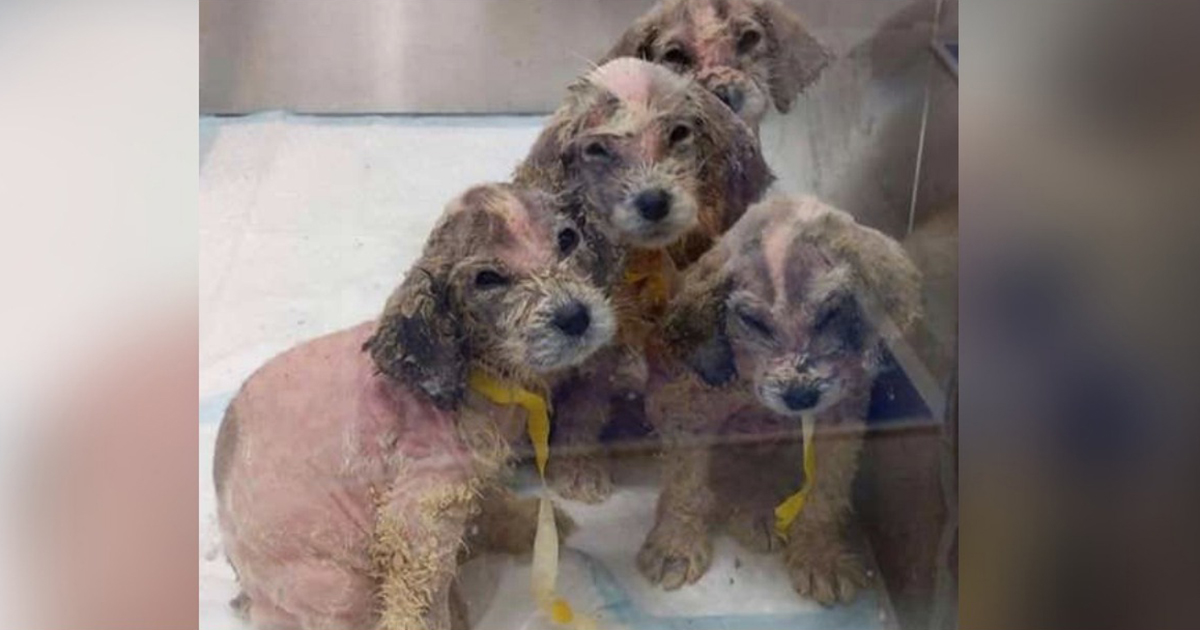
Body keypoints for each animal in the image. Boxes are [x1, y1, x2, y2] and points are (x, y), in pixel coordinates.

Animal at [214, 184, 616, 630]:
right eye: (488, 278)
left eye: (567, 239)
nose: (576, 317)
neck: (481, 378)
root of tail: (249, 596)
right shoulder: (418, 517)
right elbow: (421, 601)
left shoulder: (472, 474)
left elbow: (488, 505)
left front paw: (526, 524)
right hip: (340, 589)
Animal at [638, 196, 921, 604]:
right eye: (754, 322)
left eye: (830, 313)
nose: (800, 395)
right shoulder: (687, 408)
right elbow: (684, 482)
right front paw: (675, 545)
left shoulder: (841, 417)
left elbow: (826, 492)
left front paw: (820, 556)